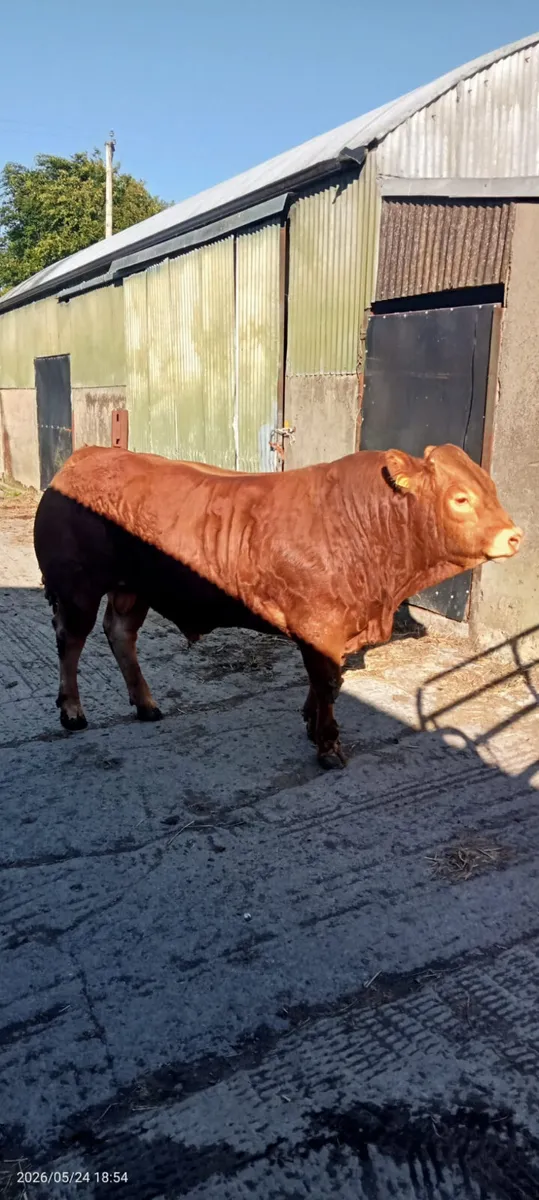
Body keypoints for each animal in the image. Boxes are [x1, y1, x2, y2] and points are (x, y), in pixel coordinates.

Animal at [33, 443, 522, 766]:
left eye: (491, 488)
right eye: (461, 498)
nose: (514, 536)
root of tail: (87, 455)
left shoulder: (329, 632)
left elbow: (328, 684)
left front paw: (310, 722)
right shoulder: (320, 627)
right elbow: (327, 684)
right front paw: (328, 745)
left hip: (134, 588)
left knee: (120, 635)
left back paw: (146, 704)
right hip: (77, 588)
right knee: (70, 642)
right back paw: (72, 711)